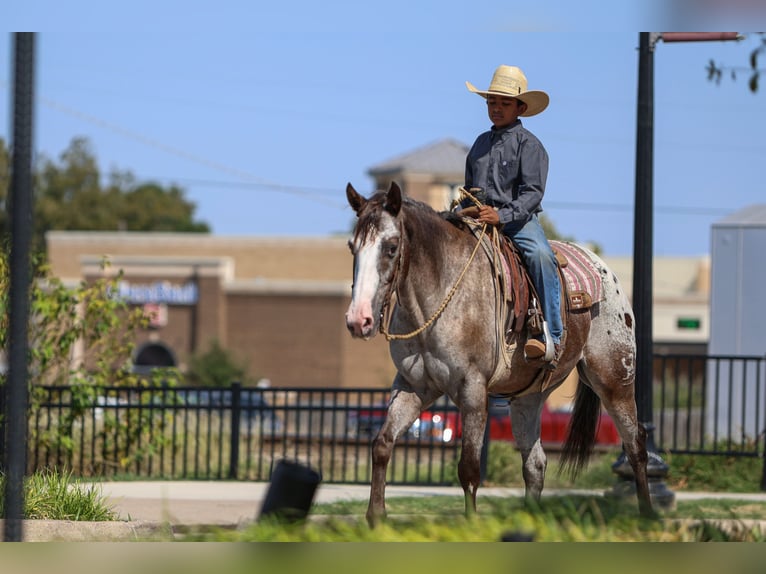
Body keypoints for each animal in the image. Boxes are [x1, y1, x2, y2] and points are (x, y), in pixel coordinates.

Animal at [348, 181, 656, 528]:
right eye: (352, 247)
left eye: (391, 247)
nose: (359, 319)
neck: (439, 292)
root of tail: (605, 272)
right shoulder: (414, 386)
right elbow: (382, 444)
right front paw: (376, 517)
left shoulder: (472, 389)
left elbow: (469, 468)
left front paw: (470, 524)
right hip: (529, 397)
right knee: (535, 463)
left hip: (615, 381)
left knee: (635, 444)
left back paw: (648, 514)